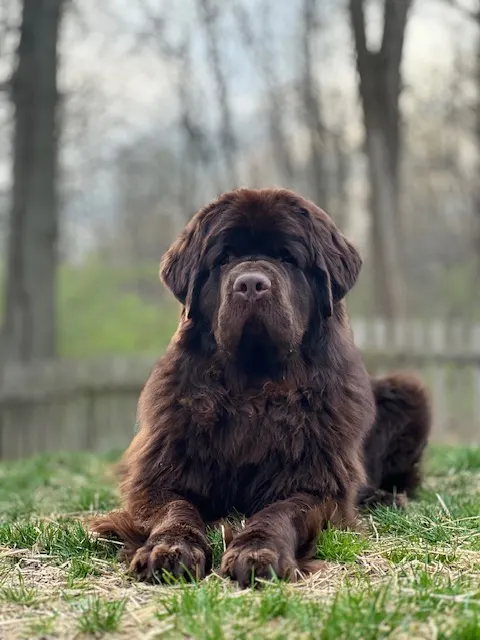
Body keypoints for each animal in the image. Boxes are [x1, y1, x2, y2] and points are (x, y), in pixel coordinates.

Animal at [92, 189, 430, 584]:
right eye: (224, 259)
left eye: (286, 258)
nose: (251, 283)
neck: (254, 390)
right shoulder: (160, 477)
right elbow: (175, 509)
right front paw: (170, 549)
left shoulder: (316, 485)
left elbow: (282, 512)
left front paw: (256, 552)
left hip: (408, 392)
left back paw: (385, 498)